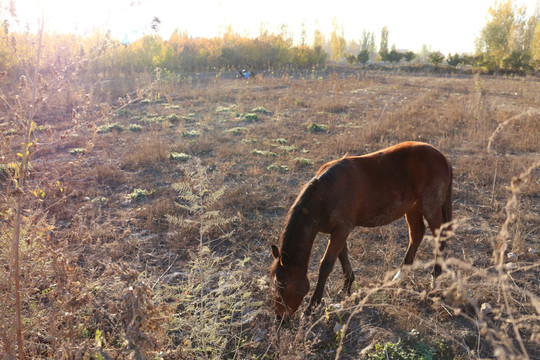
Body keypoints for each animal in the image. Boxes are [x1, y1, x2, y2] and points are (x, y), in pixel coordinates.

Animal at [268, 141, 452, 318]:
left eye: (282, 284)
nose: (280, 318)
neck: (327, 194)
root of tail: (442, 157)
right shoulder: (338, 231)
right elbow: (342, 255)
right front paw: (347, 285)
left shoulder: (342, 229)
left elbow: (326, 265)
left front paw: (311, 308)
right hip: (412, 207)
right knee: (416, 234)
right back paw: (400, 276)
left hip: (430, 207)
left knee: (439, 237)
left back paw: (436, 280)